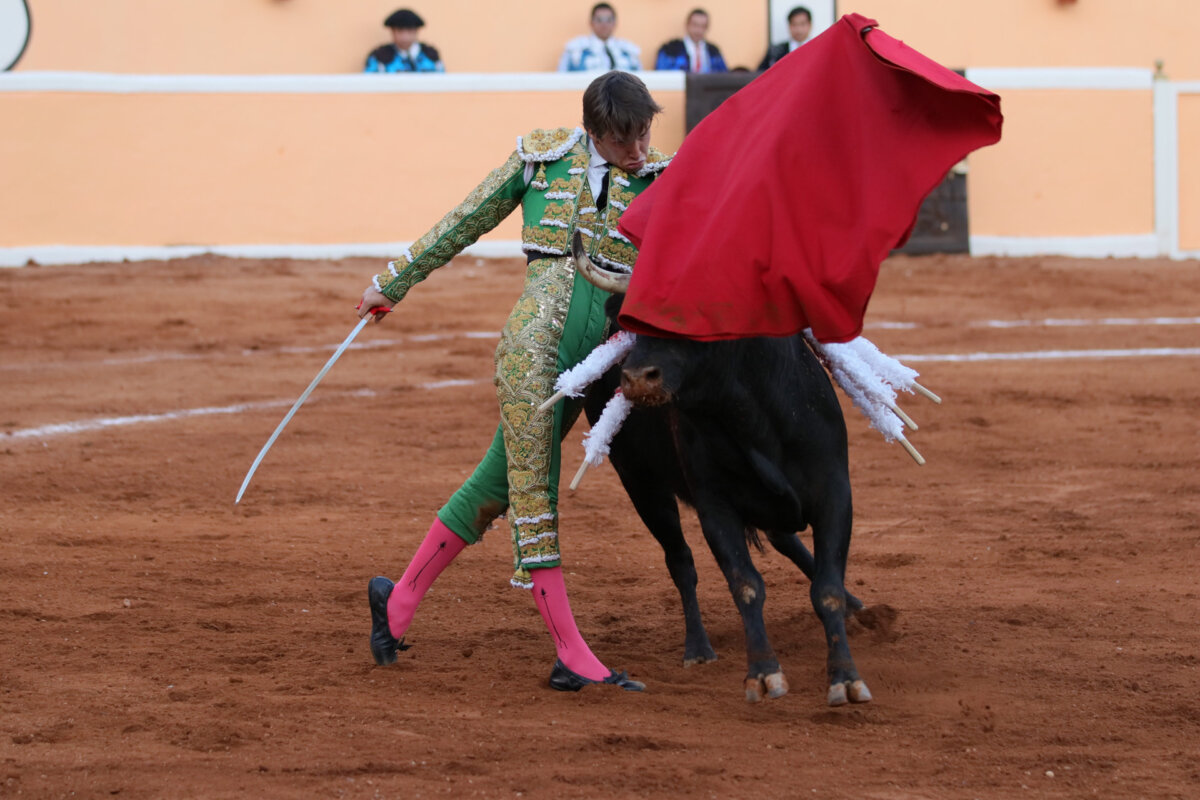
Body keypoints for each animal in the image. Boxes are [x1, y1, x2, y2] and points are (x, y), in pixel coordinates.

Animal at [572, 232, 871, 706]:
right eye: (633, 322)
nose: (634, 378)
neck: (749, 414)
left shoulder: (835, 493)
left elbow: (826, 589)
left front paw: (845, 677)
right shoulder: (716, 508)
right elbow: (745, 584)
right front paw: (764, 673)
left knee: (787, 541)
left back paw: (860, 608)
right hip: (641, 485)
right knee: (680, 560)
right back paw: (698, 648)